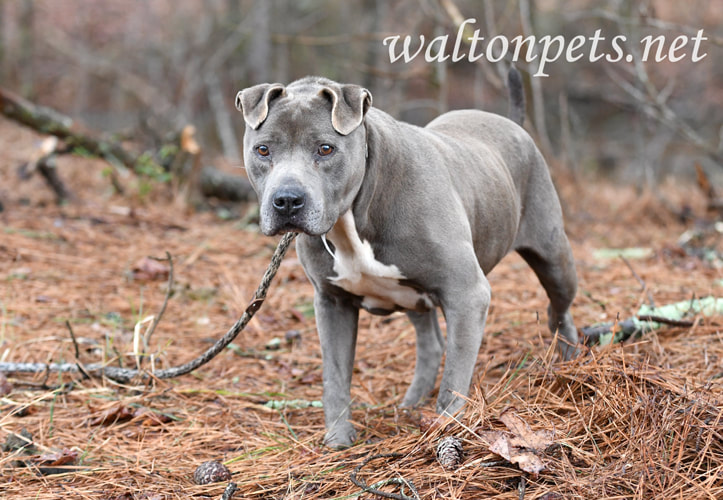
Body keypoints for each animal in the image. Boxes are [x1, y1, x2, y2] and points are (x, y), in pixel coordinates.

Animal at [235, 71, 580, 450]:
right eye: (263, 150)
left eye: (325, 148)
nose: (287, 200)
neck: (352, 218)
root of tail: (511, 123)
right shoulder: (332, 303)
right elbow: (335, 377)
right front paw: (339, 439)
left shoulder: (466, 294)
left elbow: (455, 377)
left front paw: (448, 427)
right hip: (413, 296)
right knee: (430, 345)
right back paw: (412, 402)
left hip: (553, 255)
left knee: (558, 309)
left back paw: (570, 365)